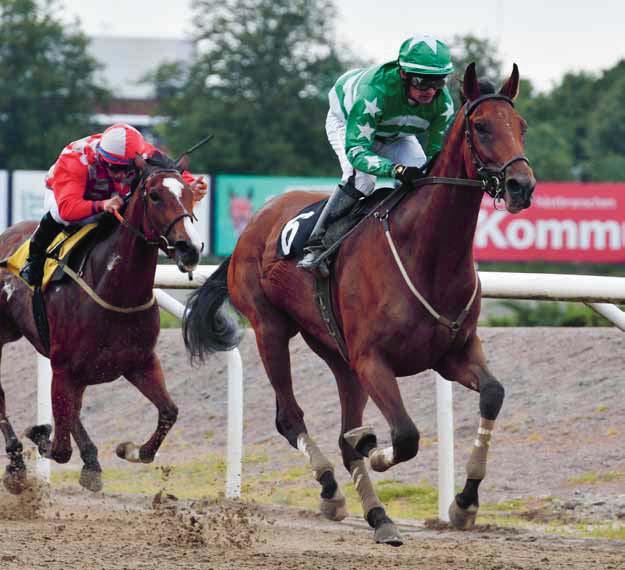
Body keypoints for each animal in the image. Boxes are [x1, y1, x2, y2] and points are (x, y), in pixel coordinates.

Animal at [183, 64, 532, 544]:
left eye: (521, 125)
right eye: (481, 126)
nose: (521, 186)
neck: (427, 253)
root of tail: (252, 224)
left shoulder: (454, 353)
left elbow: (493, 395)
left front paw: (464, 504)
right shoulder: (373, 360)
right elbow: (404, 435)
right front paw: (377, 452)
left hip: (336, 352)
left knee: (344, 431)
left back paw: (377, 514)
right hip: (271, 328)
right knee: (291, 418)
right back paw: (333, 490)